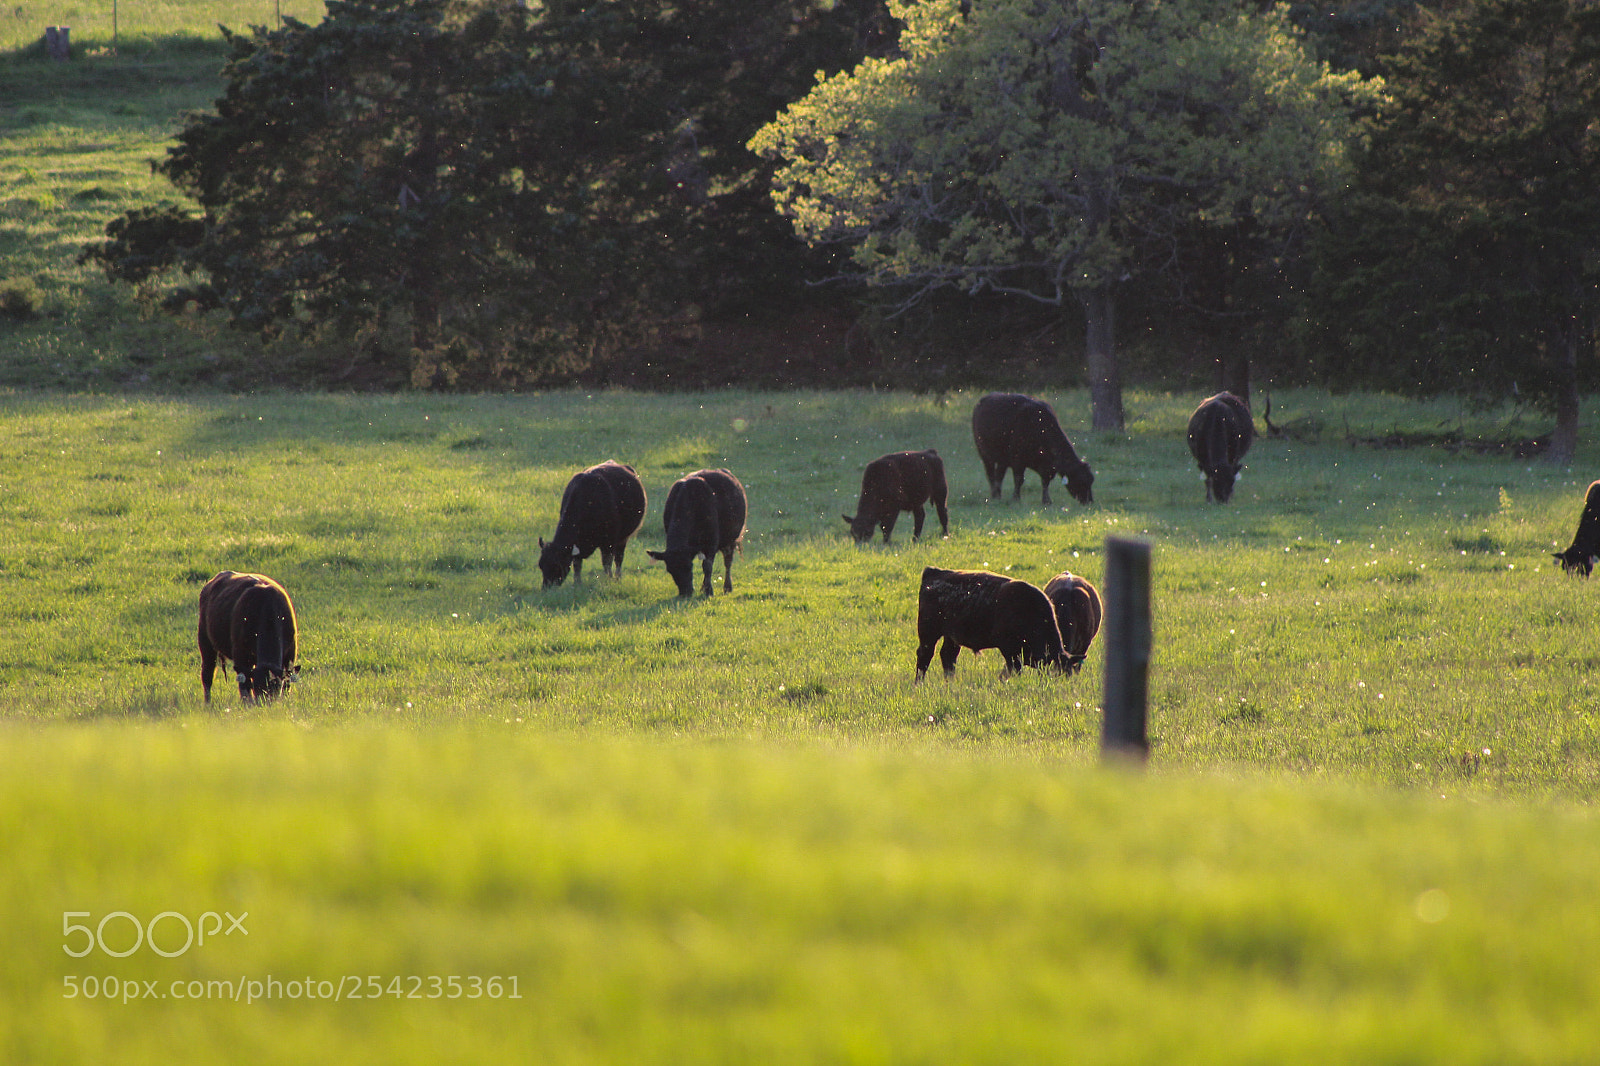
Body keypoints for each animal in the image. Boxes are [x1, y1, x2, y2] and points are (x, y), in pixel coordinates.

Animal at [197, 571, 299, 703]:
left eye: (276, 689)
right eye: (257, 689)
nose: (265, 704)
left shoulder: (290, 654)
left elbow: (287, 684)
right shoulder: (241, 655)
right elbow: (245, 687)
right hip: (205, 643)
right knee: (207, 675)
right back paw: (207, 703)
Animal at [539, 460, 647, 589]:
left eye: (557, 565)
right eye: (540, 565)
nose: (546, 588)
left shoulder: (608, 542)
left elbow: (607, 562)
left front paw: (608, 579)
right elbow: (577, 564)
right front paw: (577, 583)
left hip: (623, 538)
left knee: (619, 559)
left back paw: (617, 577)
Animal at [647, 468, 747, 597]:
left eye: (689, 566)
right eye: (670, 570)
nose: (685, 592)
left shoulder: (711, 544)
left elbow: (707, 566)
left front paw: (709, 591)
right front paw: (705, 588)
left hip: (731, 540)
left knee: (728, 562)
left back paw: (727, 587)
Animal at [915, 567, 1066, 679]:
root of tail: (933, 572)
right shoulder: (1008, 650)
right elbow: (1014, 668)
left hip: (951, 637)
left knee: (948, 656)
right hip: (928, 633)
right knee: (925, 655)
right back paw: (919, 683)